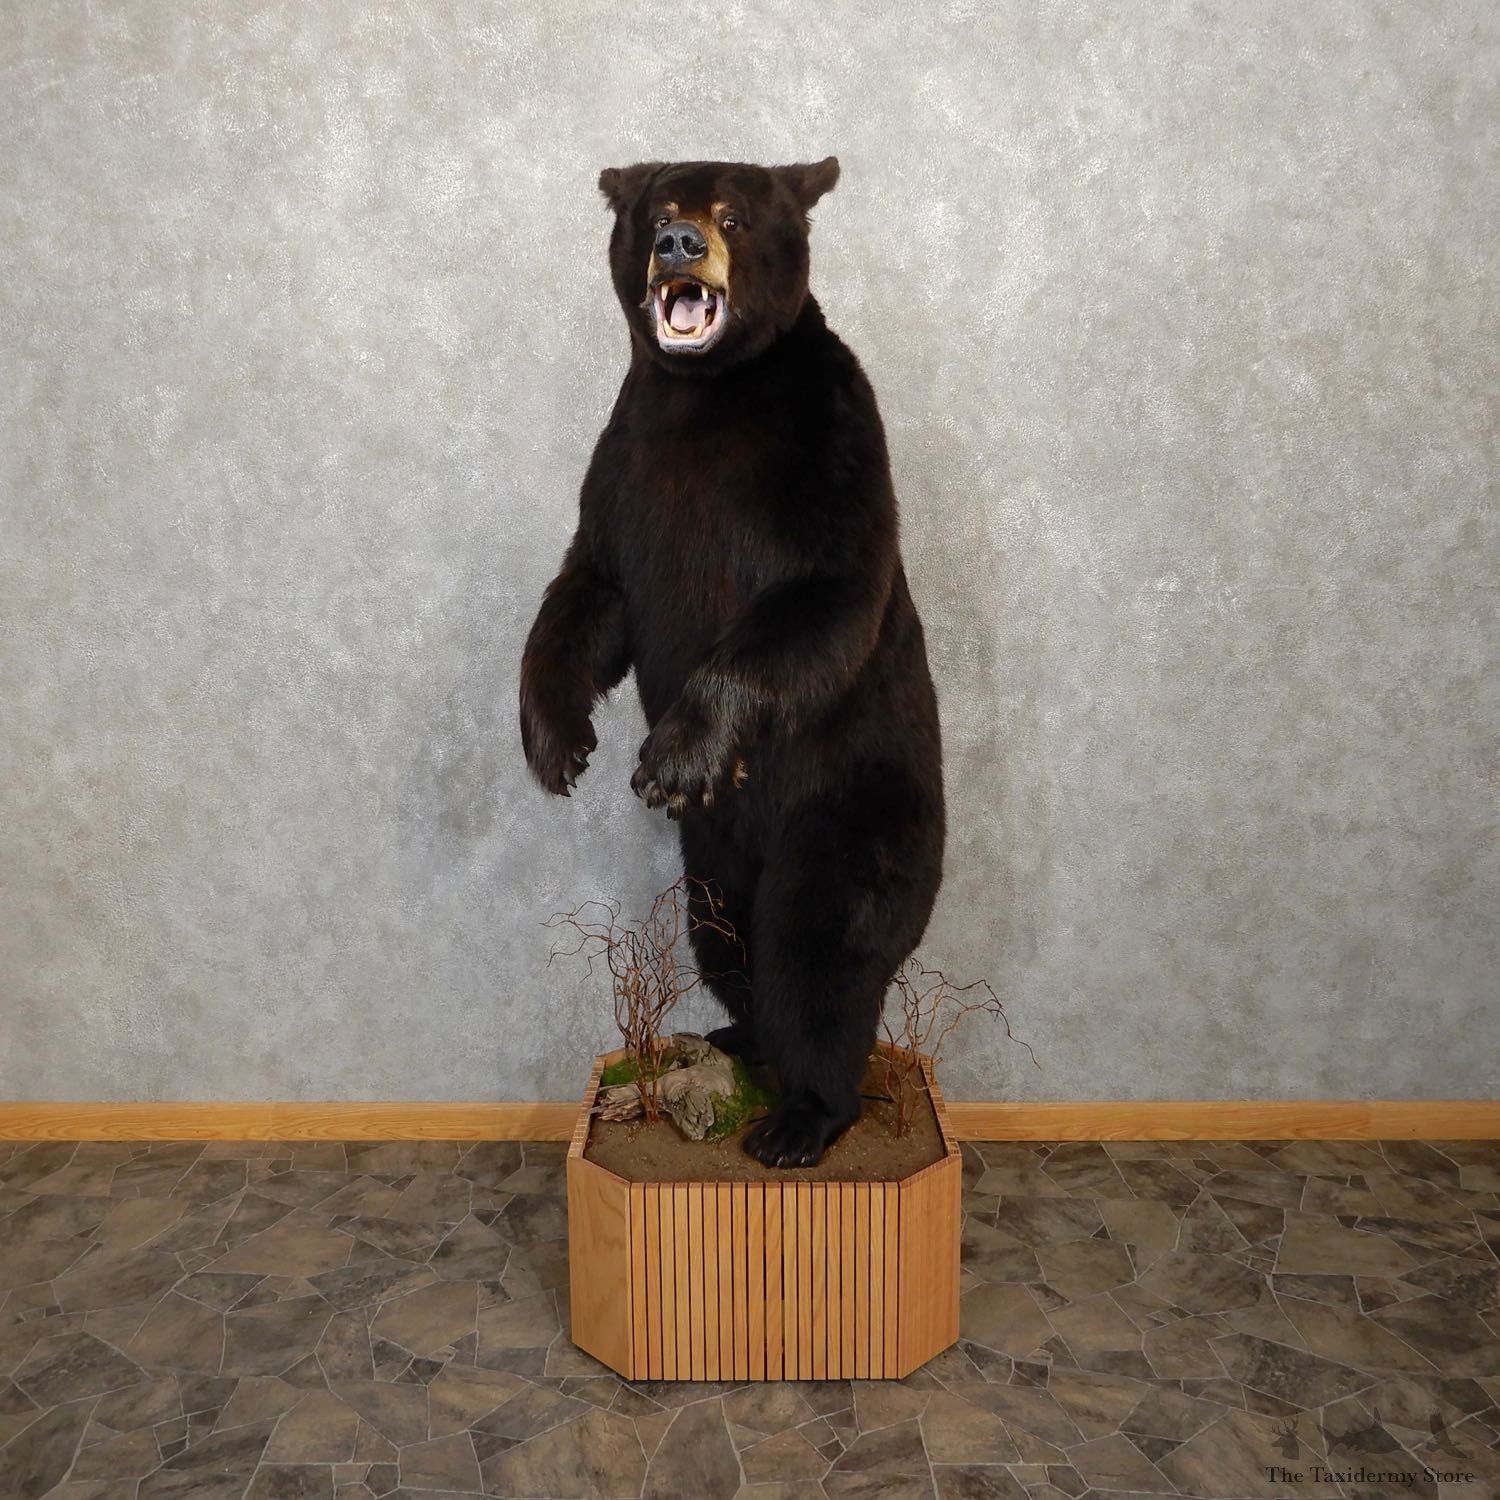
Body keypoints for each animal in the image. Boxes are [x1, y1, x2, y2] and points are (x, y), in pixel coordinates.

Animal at [520, 157, 945, 1167]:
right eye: (660, 214)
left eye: (732, 216)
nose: (680, 245)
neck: (703, 395)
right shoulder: (623, 469)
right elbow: (588, 595)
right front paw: (557, 739)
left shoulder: (829, 441)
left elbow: (823, 595)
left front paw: (674, 754)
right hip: (711, 860)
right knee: (726, 941)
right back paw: (736, 1039)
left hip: (852, 817)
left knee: (819, 956)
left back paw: (801, 1119)